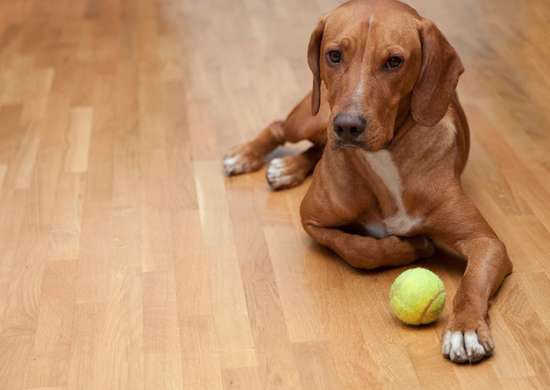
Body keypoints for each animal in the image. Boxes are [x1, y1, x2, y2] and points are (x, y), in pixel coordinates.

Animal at [223, 0, 512, 366]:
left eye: (394, 61)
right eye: (334, 55)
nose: (347, 126)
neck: (385, 159)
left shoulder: (486, 242)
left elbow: (472, 281)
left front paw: (465, 328)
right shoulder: (311, 219)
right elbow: (356, 248)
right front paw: (410, 248)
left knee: (315, 147)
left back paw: (288, 167)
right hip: (312, 117)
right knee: (280, 127)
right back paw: (246, 155)